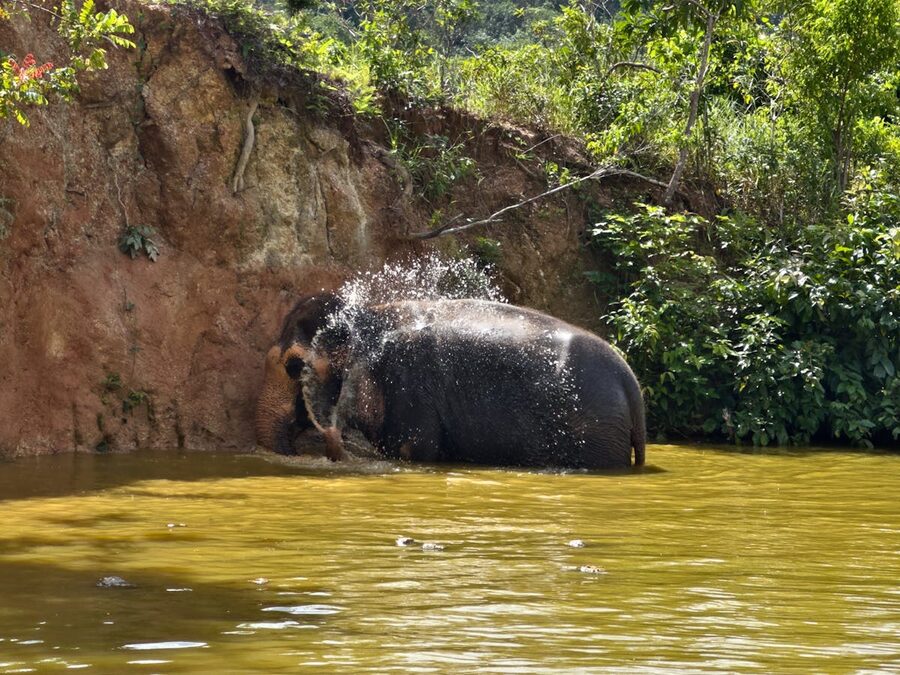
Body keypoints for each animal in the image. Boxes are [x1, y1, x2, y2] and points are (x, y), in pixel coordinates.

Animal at [257, 294, 646, 469]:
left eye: (293, 366)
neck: (370, 316)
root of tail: (631, 382)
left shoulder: (408, 383)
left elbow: (413, 449)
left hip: (594, 433)